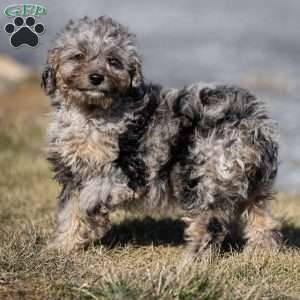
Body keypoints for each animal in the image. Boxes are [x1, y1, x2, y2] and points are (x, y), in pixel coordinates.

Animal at [41, 16, 282, 253]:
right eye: (78, 56)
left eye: (113, 61)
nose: (96, 77)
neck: (92, 113)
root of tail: (251, 123)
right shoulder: (72, 175)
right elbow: (70, 210)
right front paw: (63, 247)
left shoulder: (129, 169)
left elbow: (92, 194)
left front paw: (87, 215)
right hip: (252, 183)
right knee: (260, 217)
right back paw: (261, 253)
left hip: (203, 174)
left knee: (209, 223)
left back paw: (191, 259)